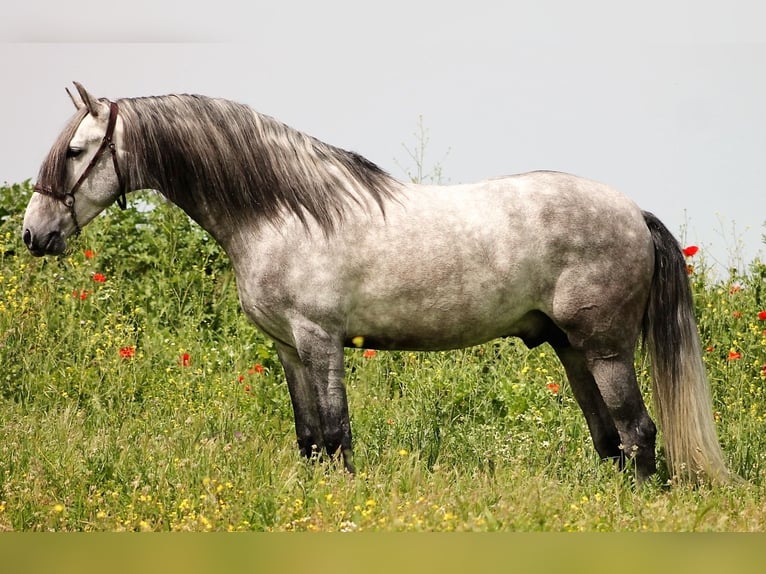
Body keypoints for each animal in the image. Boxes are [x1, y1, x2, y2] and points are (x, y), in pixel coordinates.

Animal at [22, 82, 732, 486]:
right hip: (571, 348)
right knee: (609, 438)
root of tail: (632, 211)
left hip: (606, 349)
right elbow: (310, 438)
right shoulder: (288, 348)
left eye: (78, 151)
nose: (34, 234)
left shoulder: (320, 340)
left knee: (638, 432)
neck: (285, 211)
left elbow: (337, 435)